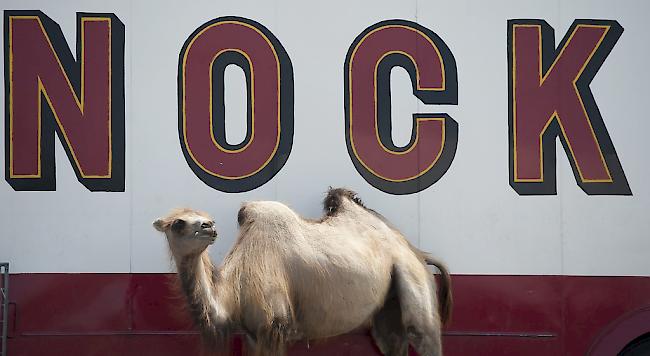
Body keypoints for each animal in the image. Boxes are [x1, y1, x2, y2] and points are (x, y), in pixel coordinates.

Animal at [153, 188, 450, 354]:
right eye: (178, 223)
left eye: (206, 219)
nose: (209, 226)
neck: (232, 293)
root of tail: (416, 251)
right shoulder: (253, 334)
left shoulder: (275, 327)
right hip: (389, 304)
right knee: (392, 340)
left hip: (412, 275)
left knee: (423, 333)